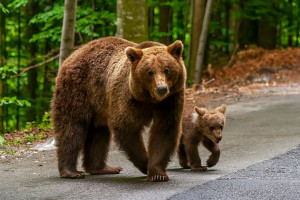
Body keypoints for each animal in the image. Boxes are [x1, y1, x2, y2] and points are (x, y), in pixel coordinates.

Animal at [52, 36, 188, 182]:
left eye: (167, 69)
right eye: (150, 72)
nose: (161, 88)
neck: (149, 99)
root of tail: (73, 55)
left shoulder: (170, 99)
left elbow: (164, 129)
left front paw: (157, 173)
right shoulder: (127, 96)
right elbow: (126, 126)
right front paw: (146, 164)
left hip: (100, 104)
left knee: (99, 133)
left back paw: (102, 168)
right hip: (77, 90)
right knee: (72, 128)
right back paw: (72, 172)